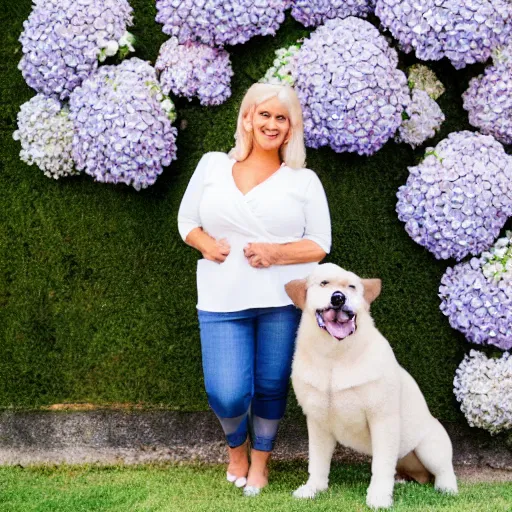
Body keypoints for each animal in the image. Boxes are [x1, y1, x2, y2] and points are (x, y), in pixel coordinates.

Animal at [286, 262, 458, 510]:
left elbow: (381, 465)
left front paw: (379, 497)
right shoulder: (317, 420)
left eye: (352, 287)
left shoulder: (382, 418)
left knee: (444, 470)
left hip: (431, 446)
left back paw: (447, 489)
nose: (338, 298)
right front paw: (313, 489)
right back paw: (402, 481)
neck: (334, 355)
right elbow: (317, 461)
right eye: (323, 283)